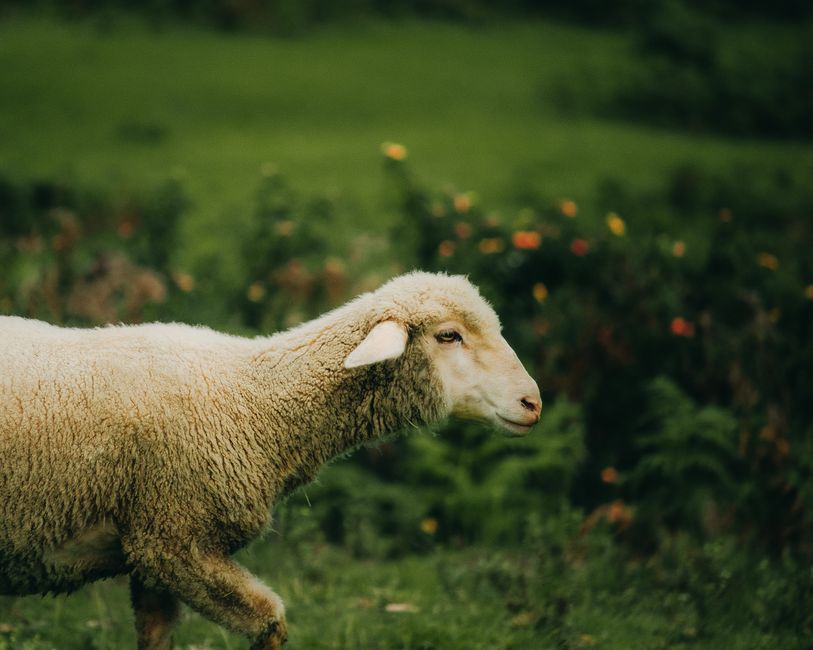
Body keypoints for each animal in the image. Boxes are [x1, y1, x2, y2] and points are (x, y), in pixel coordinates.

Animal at [0, 271, 541, 649]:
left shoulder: (148, 548)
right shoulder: (173, 544)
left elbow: (156, 638)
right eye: (449, 336)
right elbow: (272, 623)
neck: (255, 402)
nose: (533, 402)